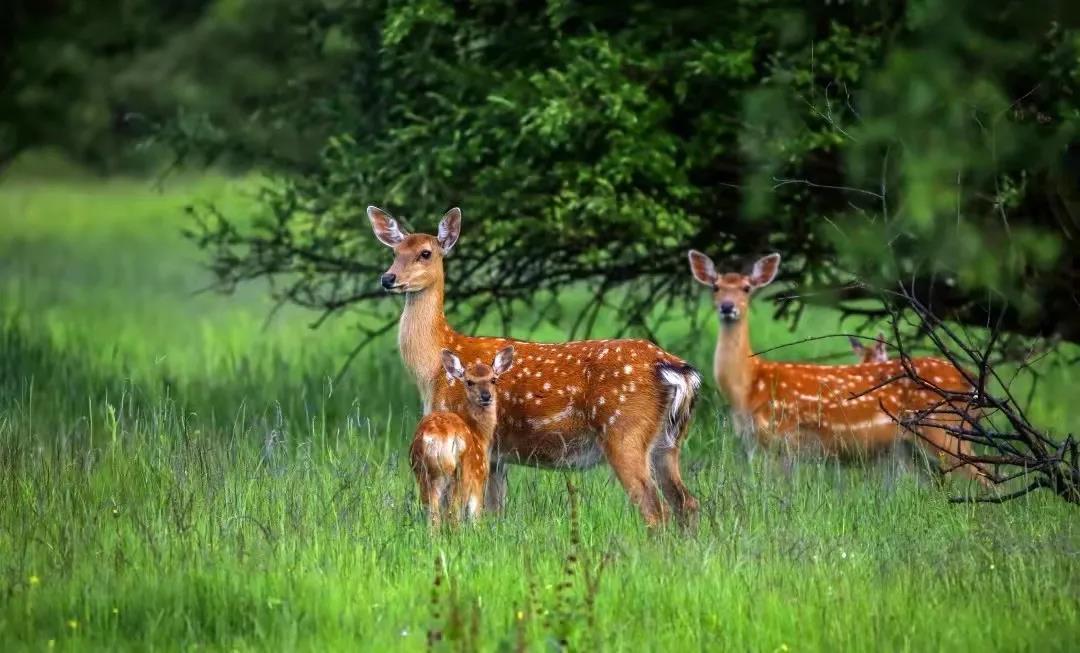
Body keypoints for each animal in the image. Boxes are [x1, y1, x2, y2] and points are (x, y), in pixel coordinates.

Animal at [410, 345, 516, 524]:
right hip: (462, 473)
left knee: (433, 515)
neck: (479, 434)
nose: (486, 396)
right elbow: (475, 515)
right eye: (469, 382)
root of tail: (435, 439)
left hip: (424, 473)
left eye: (493, 379)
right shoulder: (479, 476)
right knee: (454, 515)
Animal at [686, 249, 989, 483]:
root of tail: (971, 380)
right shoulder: (756, 444)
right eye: (715, 287)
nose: (727, 307)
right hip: (914, 445)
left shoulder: (785, 435)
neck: (748, 385)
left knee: (984, 475)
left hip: (943, 428)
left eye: (747, 288)